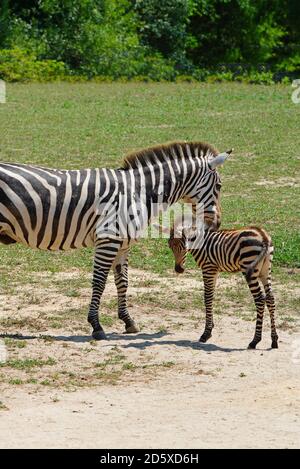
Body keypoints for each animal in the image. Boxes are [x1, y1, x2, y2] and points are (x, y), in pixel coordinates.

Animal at [0, 141, 232, 338]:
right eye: (219, 186)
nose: (217, 224)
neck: (139, 192)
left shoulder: (122, 244)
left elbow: (123, 281)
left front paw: (128, 321)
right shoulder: (108, 240)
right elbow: (99, 281)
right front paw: (96, 326)